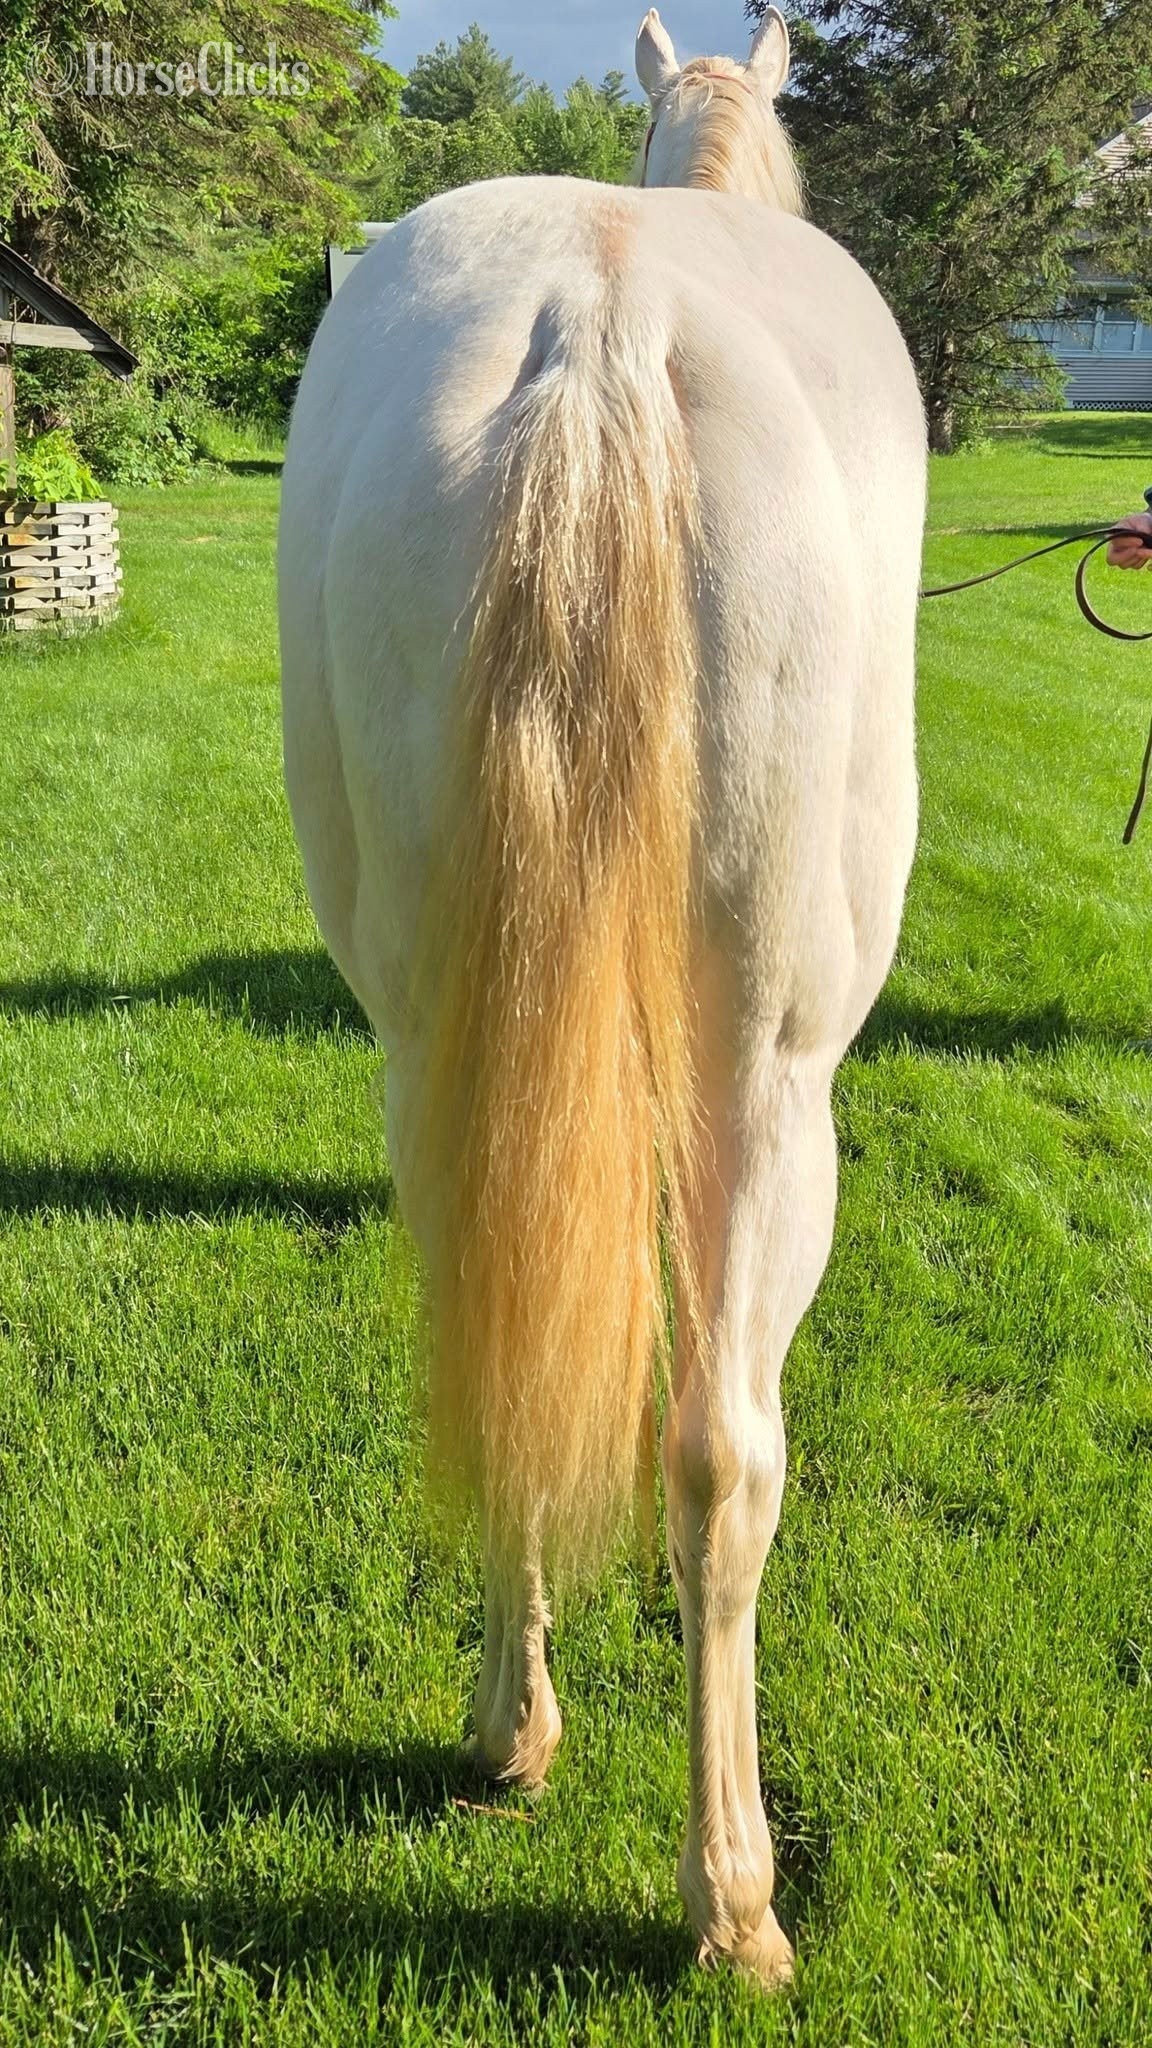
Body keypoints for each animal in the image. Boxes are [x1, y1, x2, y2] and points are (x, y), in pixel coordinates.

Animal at [278, 6, 926, 1987]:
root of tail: (603, 319)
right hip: (769, 1081)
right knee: (727, 1453)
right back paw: (730, 1895)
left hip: (428, 1034)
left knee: (496, 1321)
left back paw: (510, 1730)